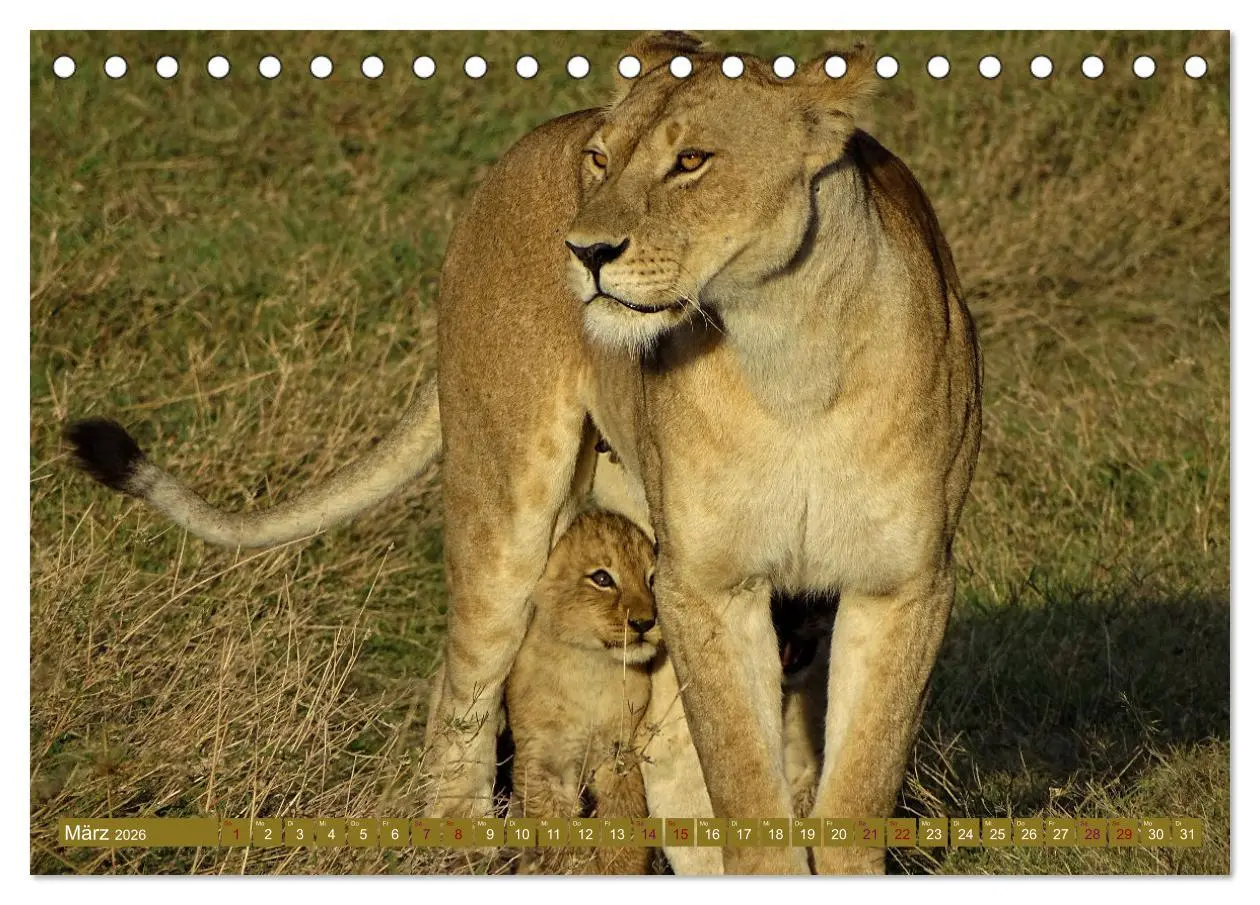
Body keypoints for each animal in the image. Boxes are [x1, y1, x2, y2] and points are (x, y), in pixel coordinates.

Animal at [504, 507, 658, 875]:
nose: (645, 623)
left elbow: (625, 818)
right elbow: (558, 831)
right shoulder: (540, 760)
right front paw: (579, 869)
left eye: (651, 579)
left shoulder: (617, 753)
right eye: (602, 579)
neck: (591, 669)